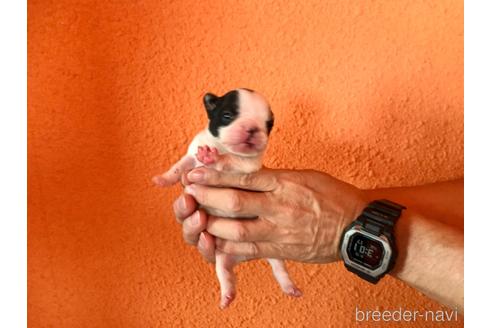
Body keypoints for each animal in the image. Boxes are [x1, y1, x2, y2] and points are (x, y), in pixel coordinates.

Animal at [152, 89, 302, 308]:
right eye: (227, 116)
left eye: (268, 124)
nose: (252, 128)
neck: (222, 146)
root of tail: (244, 256)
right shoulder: (191, 157)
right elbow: (178, 167)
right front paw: (163, 179)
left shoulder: (247, 164)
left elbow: (231, 159)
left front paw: (214, 158)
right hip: (222, 258)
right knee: (225, 274)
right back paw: (227, 296)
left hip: (273, 252)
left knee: (280, 269)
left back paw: (290, 287)